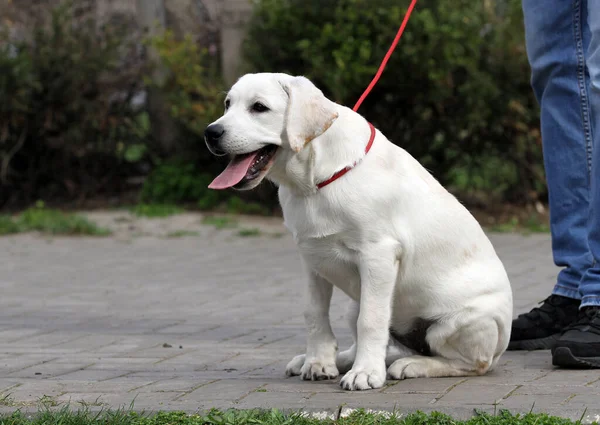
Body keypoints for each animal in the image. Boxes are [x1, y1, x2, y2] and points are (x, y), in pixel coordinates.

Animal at [204, 71, 512, 390]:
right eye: (228, 104)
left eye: (259, 107)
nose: (211, 133)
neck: (314, 182)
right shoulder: (311, 257)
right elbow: (314, 312)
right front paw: (318, 362)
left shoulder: (378, 255)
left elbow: (371, 320)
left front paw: (365, 373)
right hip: (356, 303)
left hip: (462, 322)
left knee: (470, 363)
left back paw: (412, 364)